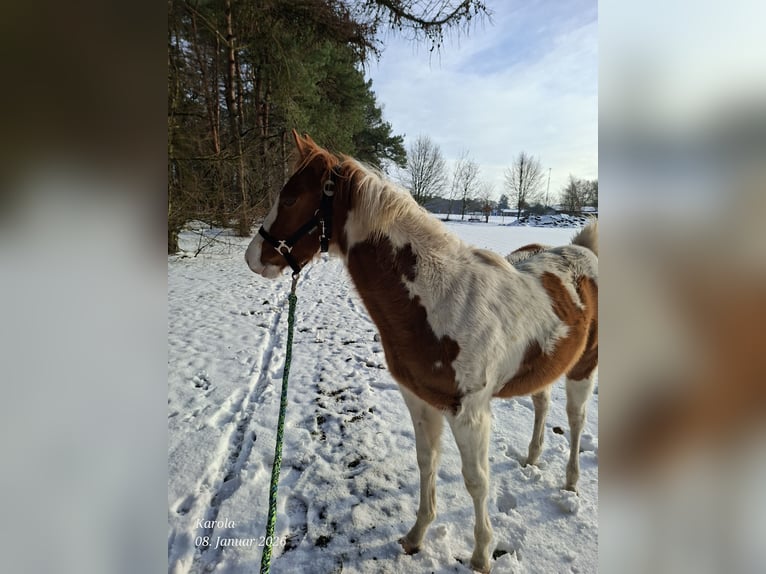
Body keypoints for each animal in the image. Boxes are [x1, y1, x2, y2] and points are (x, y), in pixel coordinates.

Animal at [245, 131, 598, 573]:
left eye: (291, 198)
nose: (253, 258)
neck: (441, 299)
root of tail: (586, 251)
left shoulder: (470, 414)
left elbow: (476, 481)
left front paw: (481, 555)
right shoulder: (419, 400)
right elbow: (426, 462)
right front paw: (416, 536)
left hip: (584, 368)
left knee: (576, 421)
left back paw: (571, 482)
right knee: (542, 403)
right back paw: (533, 459)